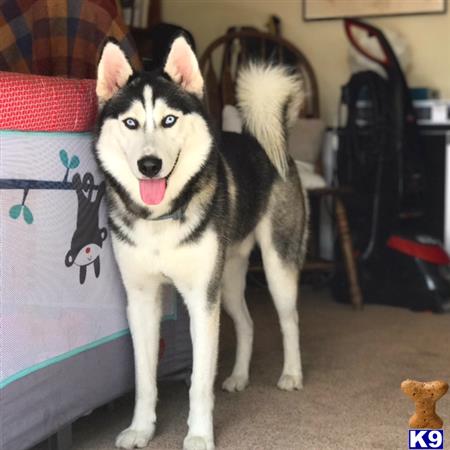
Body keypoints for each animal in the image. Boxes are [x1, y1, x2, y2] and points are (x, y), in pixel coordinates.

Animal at [95, 36, 310, 450]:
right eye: (131, 122)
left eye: (169, 120)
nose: (149, 165)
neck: (160, 219)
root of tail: (261, 140)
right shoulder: (142, 300)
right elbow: (144, 378)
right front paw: (141, 429)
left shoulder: (200, 301)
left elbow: (198, 380)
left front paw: (197, 435)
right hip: (226, 278)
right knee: (247, 323)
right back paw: (239, 376)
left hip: (276, 266)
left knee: (289, 319)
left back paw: (292, 374)